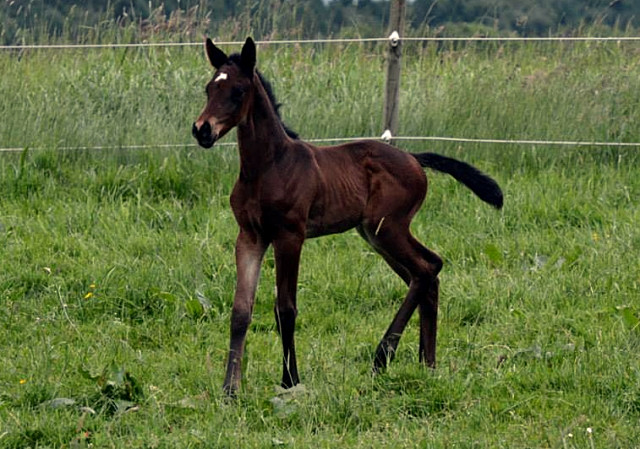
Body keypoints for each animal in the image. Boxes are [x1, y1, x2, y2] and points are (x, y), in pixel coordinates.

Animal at [192, 38, 502, 396]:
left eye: (239, 91)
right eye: (208, 89)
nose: (202, 131)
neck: (267, 167)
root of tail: (413, 158)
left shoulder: (290, 236)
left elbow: (285, 308)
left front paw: (290, 380)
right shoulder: (250, 237)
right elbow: (241, 311)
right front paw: (230, 389)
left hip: (388, 228)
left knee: (427, 268)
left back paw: (383, 356)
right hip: (374, 234)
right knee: (425, 272)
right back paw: (427, 363)